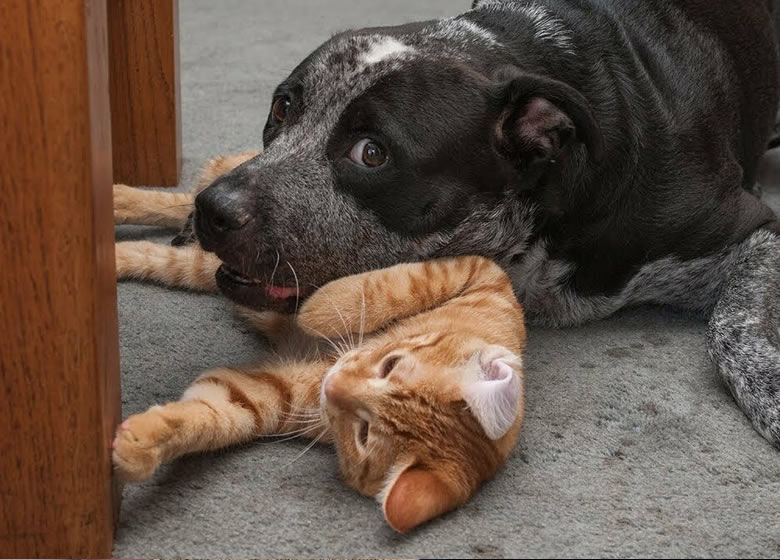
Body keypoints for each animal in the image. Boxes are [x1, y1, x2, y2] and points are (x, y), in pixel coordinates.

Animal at [112, 159, 528, 532]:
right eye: (390, 365)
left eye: (363, 433)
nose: (334, 384)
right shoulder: (481, 273)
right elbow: (388, 287)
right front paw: (318, 308)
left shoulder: (267, 397)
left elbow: (206, 418)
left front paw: (141, 444)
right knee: (194, 200)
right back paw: (120, 200)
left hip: (214, 270)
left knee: (170, 252)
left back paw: (117, 248)